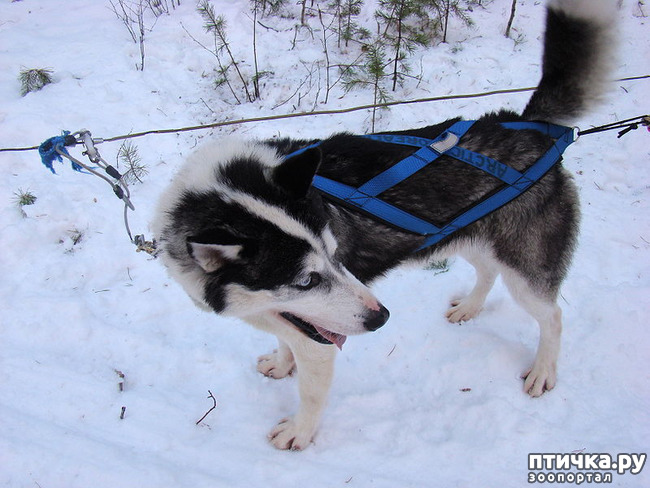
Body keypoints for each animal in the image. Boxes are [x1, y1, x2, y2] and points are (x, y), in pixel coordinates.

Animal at [152, 0, 612, 450]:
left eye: (336, 253)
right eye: (306, 280)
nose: (382, 318)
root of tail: (528, 127)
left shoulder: (319, 340)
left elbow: (311, 390)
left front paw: (300, 431)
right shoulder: (294, 317)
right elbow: (285, 339)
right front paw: (282, 364)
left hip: (525, 269)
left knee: (551, 316)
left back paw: (543, 370)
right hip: (467, 236)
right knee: (487, 271)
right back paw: (470, 307)